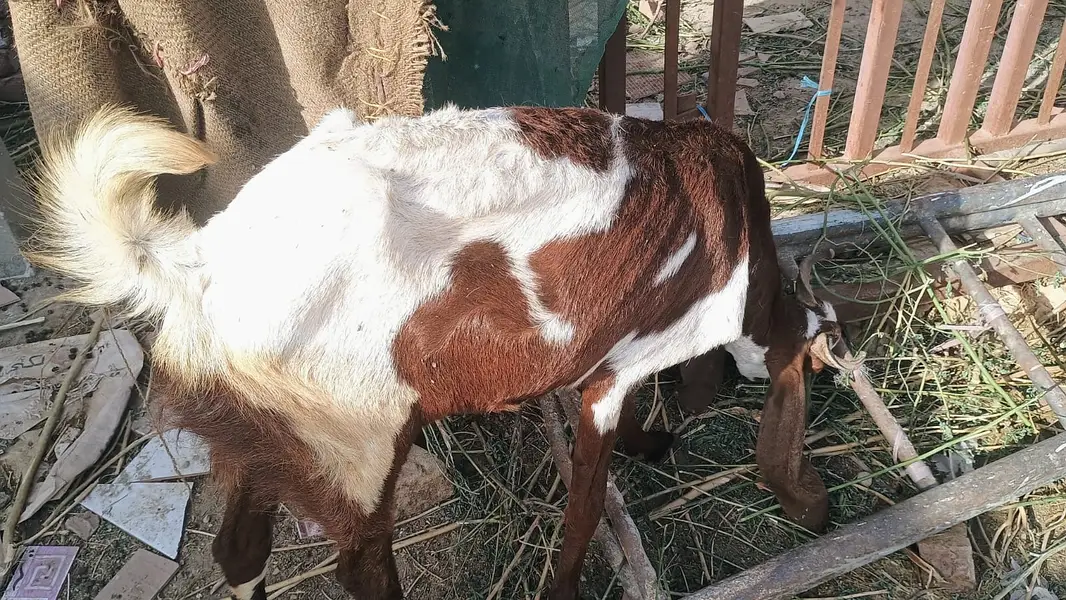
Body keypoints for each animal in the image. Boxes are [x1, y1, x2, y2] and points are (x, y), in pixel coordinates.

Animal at [25, 103, 853, 600]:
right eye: (819, 366)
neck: (749, 272)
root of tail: (199, 263)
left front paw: (655, 441)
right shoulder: (622, 367)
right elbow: (586, 505)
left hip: (266, 436)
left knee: (239, 547)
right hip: (354, 439)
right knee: (360, 565)